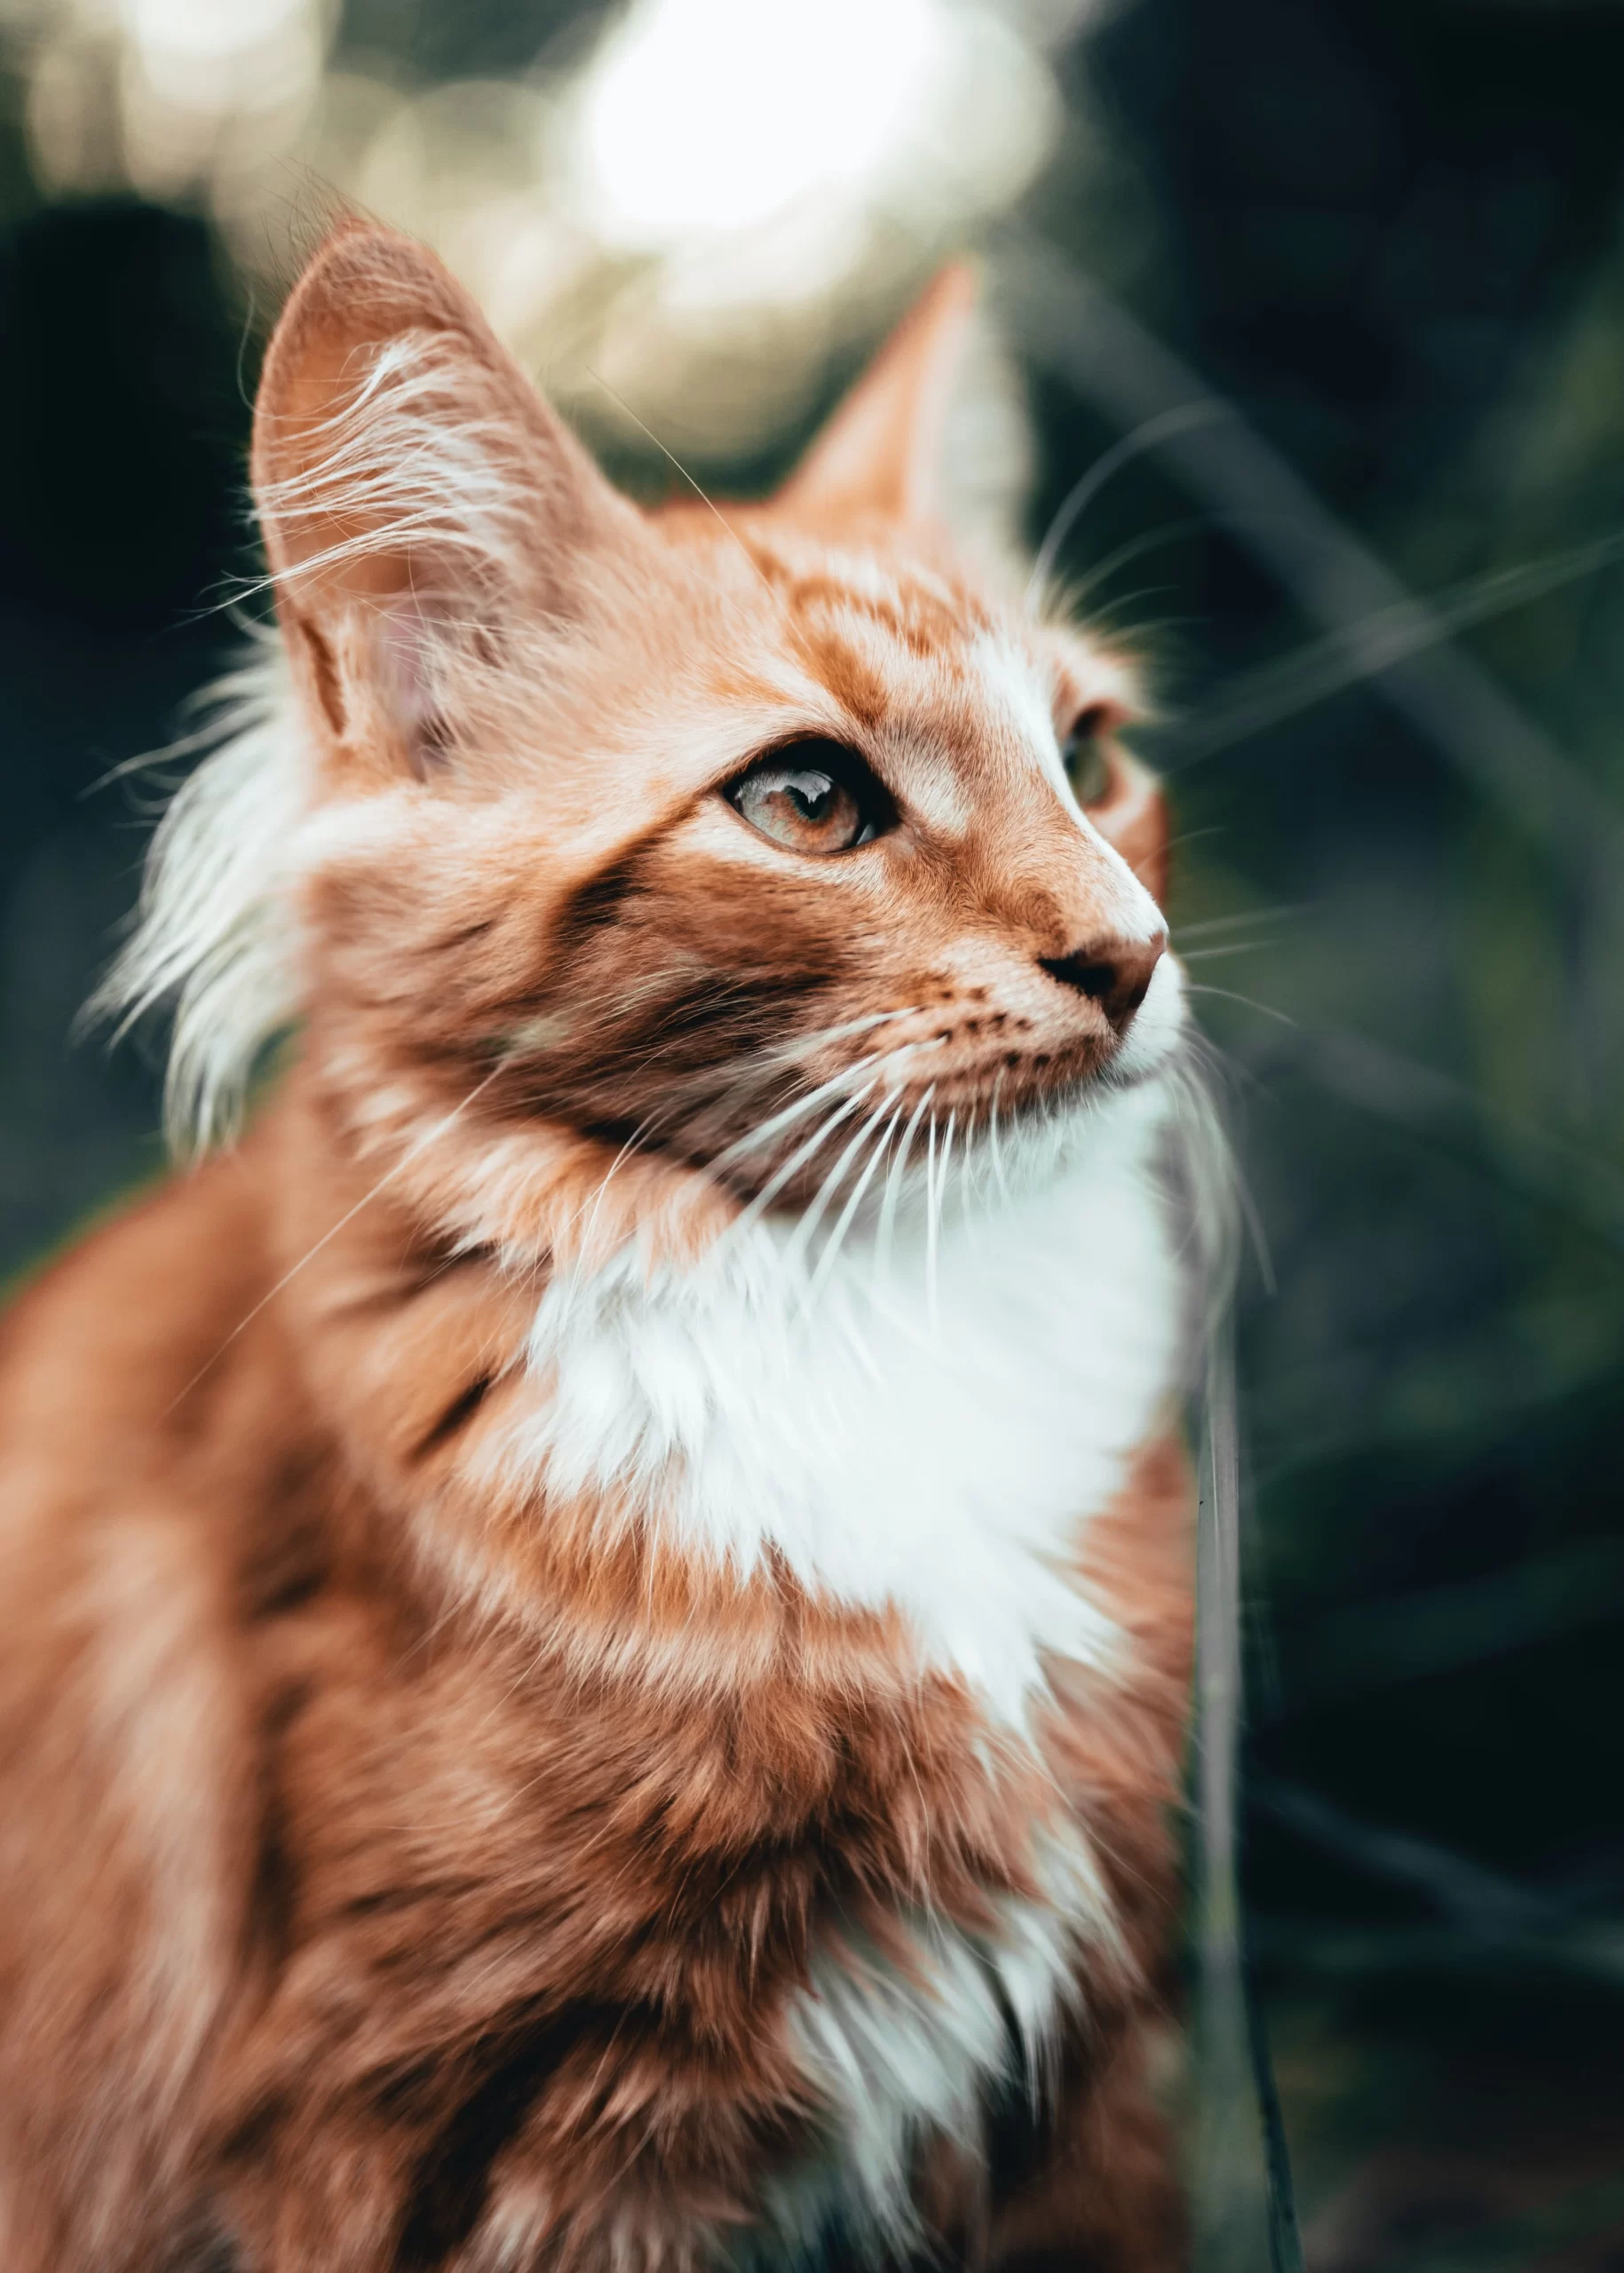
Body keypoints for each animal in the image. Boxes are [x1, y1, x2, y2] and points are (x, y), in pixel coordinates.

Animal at [0, 217, 1200, 2273]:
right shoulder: (457, 2121)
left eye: (1088, 753)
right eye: (808, 799)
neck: (860, 1314)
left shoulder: (1086, 2076)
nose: (1126, 953)